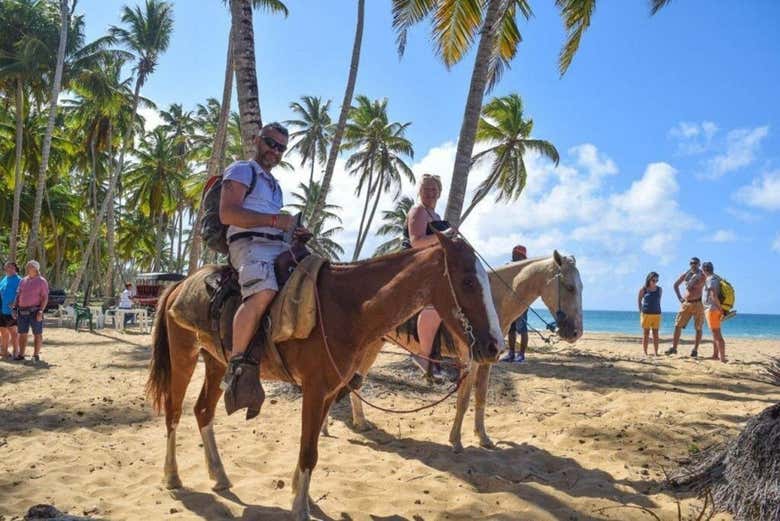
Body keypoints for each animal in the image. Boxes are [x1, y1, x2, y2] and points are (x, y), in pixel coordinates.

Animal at [145, 231, 503, 521]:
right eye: (468, 281)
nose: (494, 346)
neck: (346, 306)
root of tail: (178, 286)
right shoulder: (315, 390)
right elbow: (308, 450)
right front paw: (300, 508)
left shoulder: (330, 391)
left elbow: (313, 445)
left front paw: (298, 495)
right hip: (184, 356)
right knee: (174, 412)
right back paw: (172, 476)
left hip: (217, 362)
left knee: (202, 411)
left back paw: (219, 476)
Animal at [338, 251, 583, 452]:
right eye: (570, 287)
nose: (576, 333)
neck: (491, 301)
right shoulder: (470, 360)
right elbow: (463, 399)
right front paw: (456, 440)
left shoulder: (487, 361)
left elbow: (481, 397)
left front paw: (483, 437)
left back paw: (360, 422)